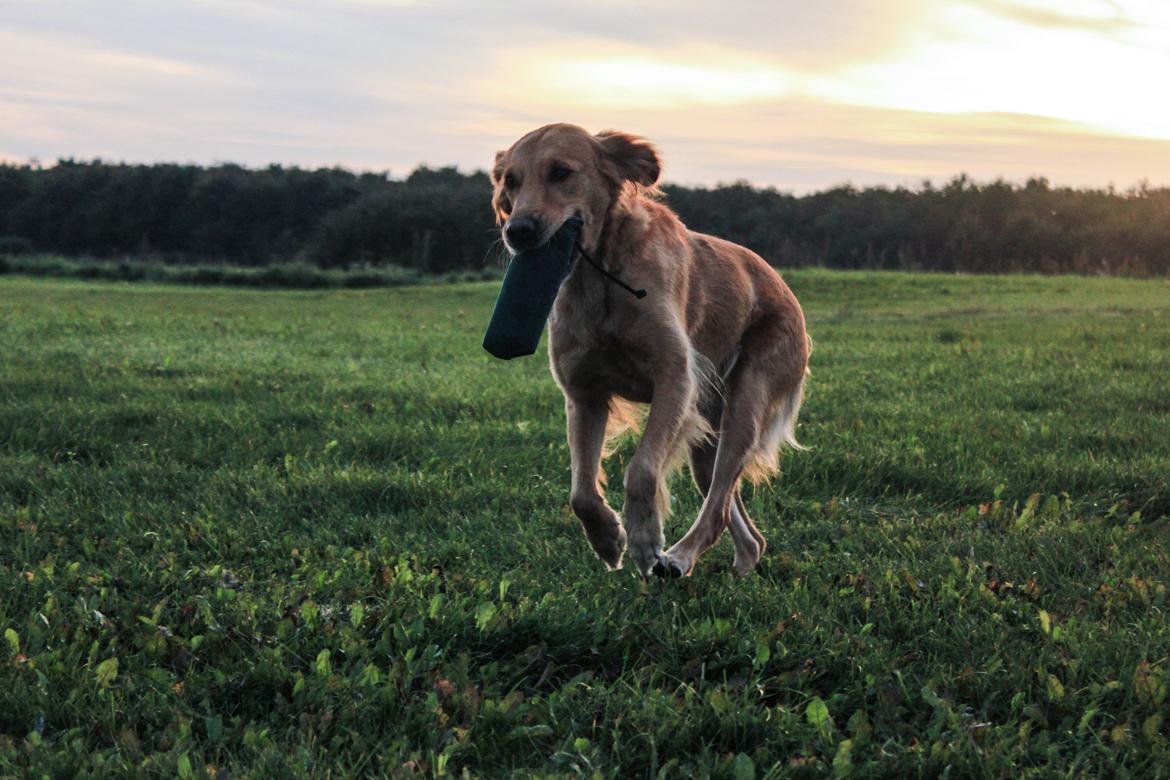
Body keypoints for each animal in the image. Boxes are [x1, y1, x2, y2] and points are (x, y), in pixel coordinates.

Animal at [489, 125, 809, 580]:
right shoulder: (584, 396)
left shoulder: (675, 379)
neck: (601, 279)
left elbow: (641, 469)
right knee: (740, 523)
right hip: (705, 443)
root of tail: (784, 287)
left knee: (718, 505)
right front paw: (608, 540)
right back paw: (738, 562)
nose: (517, 230)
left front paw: (643, 539)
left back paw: (678, 557)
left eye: (560, 172)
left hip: (745, 405)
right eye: (511, 181)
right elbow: (581, 493)